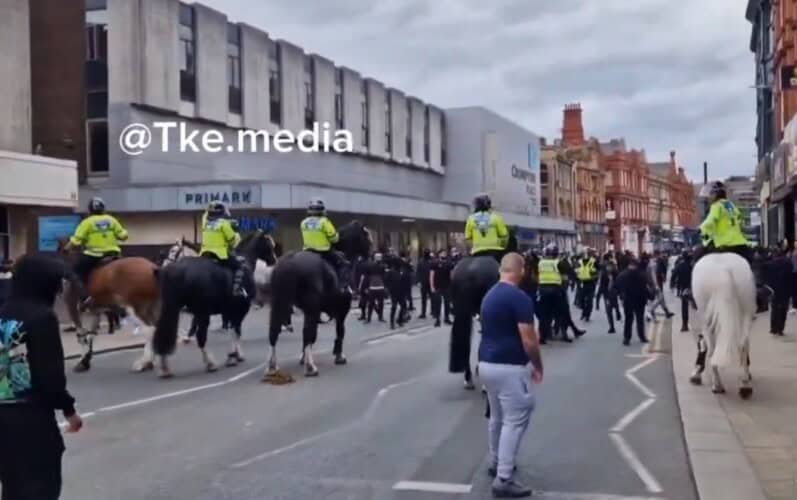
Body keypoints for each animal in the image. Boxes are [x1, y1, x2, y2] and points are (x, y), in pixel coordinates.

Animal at [57, 240, 160, 374]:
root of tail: (152, 268)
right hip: (150, 307)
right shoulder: (95, 310)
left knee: (149, 329)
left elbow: (81, 335)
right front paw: (86, 360)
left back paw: (143, 363)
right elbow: (91, 334)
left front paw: (82, 361)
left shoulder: (72, 306)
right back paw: (150, 361)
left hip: (135, 307)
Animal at [152, 229, 276, 376]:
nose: (274, 260)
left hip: (175, 308)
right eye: (268, 243)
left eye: (173, 250)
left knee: (165, 332)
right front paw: (233, 355)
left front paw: (235, 354)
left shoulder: (228, 309)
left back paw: (165, 367)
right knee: (201, 337)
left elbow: (233, 329)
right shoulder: (240, 309)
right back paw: (210, 363)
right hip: (201, 311)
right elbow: (236, 330)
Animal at [264, 221, 370, 376]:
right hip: (311, 306)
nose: (370, 254)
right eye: (366, 235)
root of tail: (289, 263)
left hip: (279, 303)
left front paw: (303, 357)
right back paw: (311, 368)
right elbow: (339, 331)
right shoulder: (342, 310)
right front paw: (339, 356)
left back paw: (272, 366)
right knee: (308, 332)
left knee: (274, 331)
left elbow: (308, 337)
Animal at [688, 254, 756, 398]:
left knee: (712, 349)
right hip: (746, 311)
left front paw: (697, 373)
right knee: (744, 344)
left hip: (706, 317)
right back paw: (745, 385)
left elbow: (704, 346)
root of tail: (725, 270)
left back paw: (717, 386)